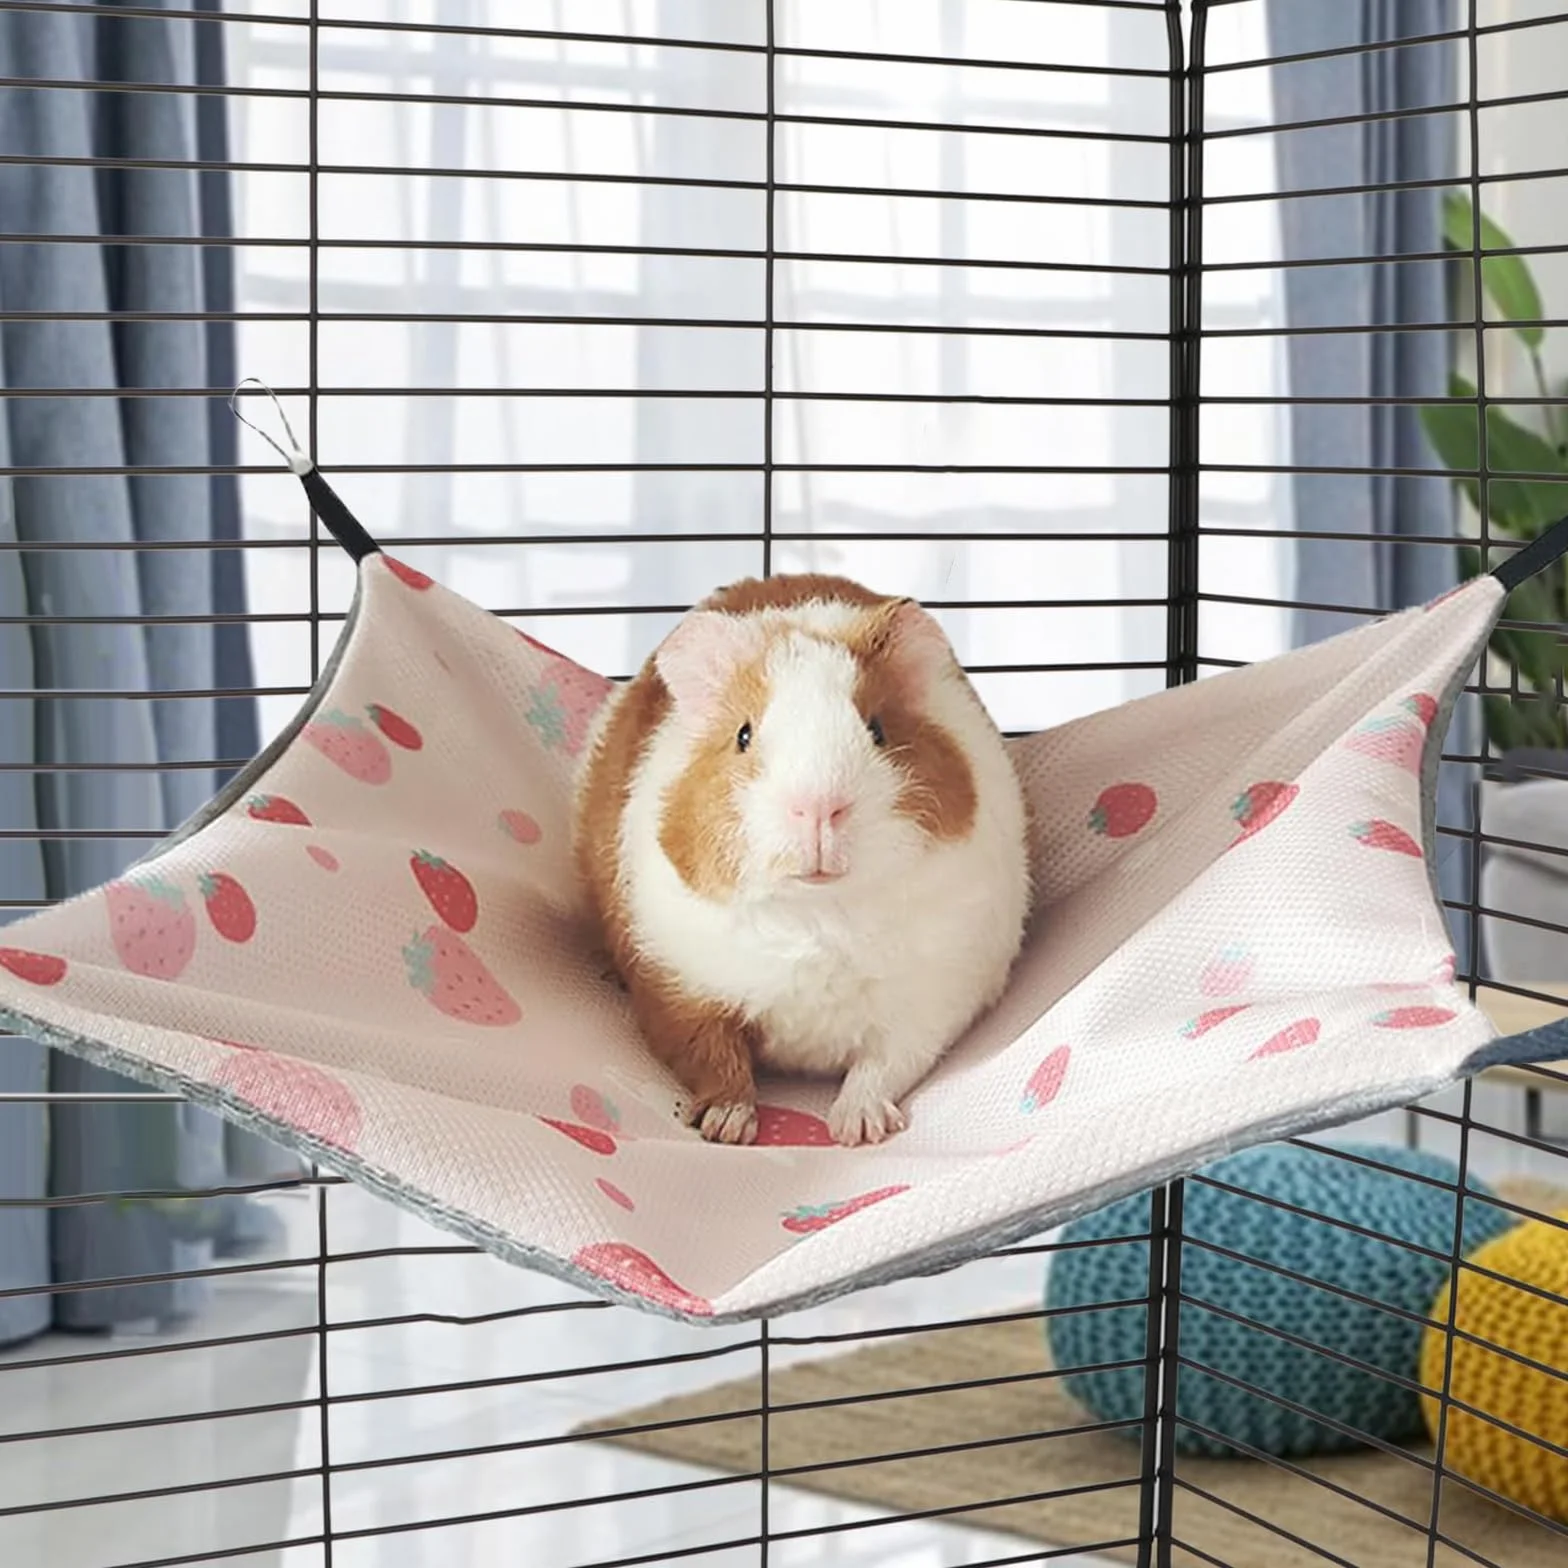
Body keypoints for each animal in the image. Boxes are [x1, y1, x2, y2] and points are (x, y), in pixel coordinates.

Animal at [572, 573, 1031, 1147]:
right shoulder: (677, 990)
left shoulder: (930, 1006)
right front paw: (727, 1129)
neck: (819, 915)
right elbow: (713, 1058)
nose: (817, 808)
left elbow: (882, 1065)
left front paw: (857, 1131)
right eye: (743, 735)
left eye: (877, 729)